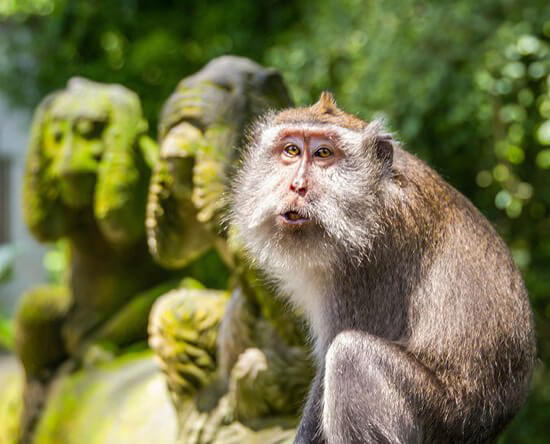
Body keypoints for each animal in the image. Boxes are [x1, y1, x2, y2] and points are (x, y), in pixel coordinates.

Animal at [231, 91, 536, 444]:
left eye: (324, 153)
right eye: (291, 150)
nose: (297, 185)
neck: (371, 195)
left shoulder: (365, 266)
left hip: (436, 417)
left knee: (351, 356)